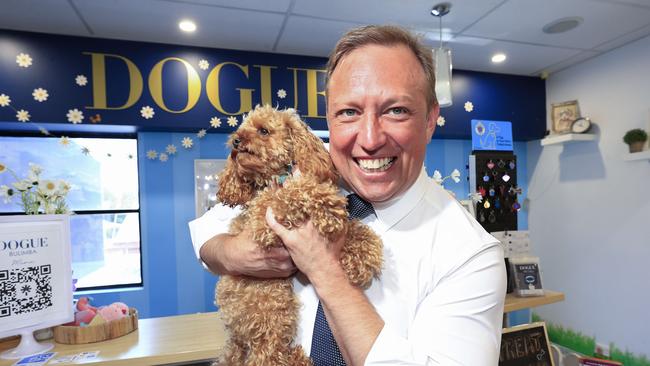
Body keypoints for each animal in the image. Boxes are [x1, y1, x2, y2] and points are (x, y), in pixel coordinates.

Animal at [215, 104, 382, 366]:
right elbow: (293, 192)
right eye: (241, 129)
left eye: (263, 131)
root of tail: (237, 341)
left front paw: (364, 254)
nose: (236, 140)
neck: (270, 179)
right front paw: (327, 203)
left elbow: (352, 227)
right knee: (267, 355)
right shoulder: (263, 222)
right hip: (270, 307)